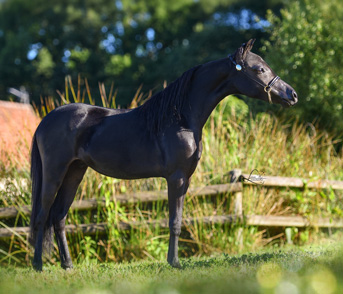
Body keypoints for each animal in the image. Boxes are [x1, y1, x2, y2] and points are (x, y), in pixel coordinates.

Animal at [29, 39, 298, 272]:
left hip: (75, 172)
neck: (180, 118)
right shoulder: (176, 177)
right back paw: (38, 265)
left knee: (59, 216)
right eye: (259, 68)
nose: (292, 94)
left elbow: (178, 219)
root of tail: (45, 121)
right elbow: (174, 221)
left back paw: (67, 265)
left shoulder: (185, 179)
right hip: (55, 172)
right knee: (42, 215)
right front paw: (174, 262)